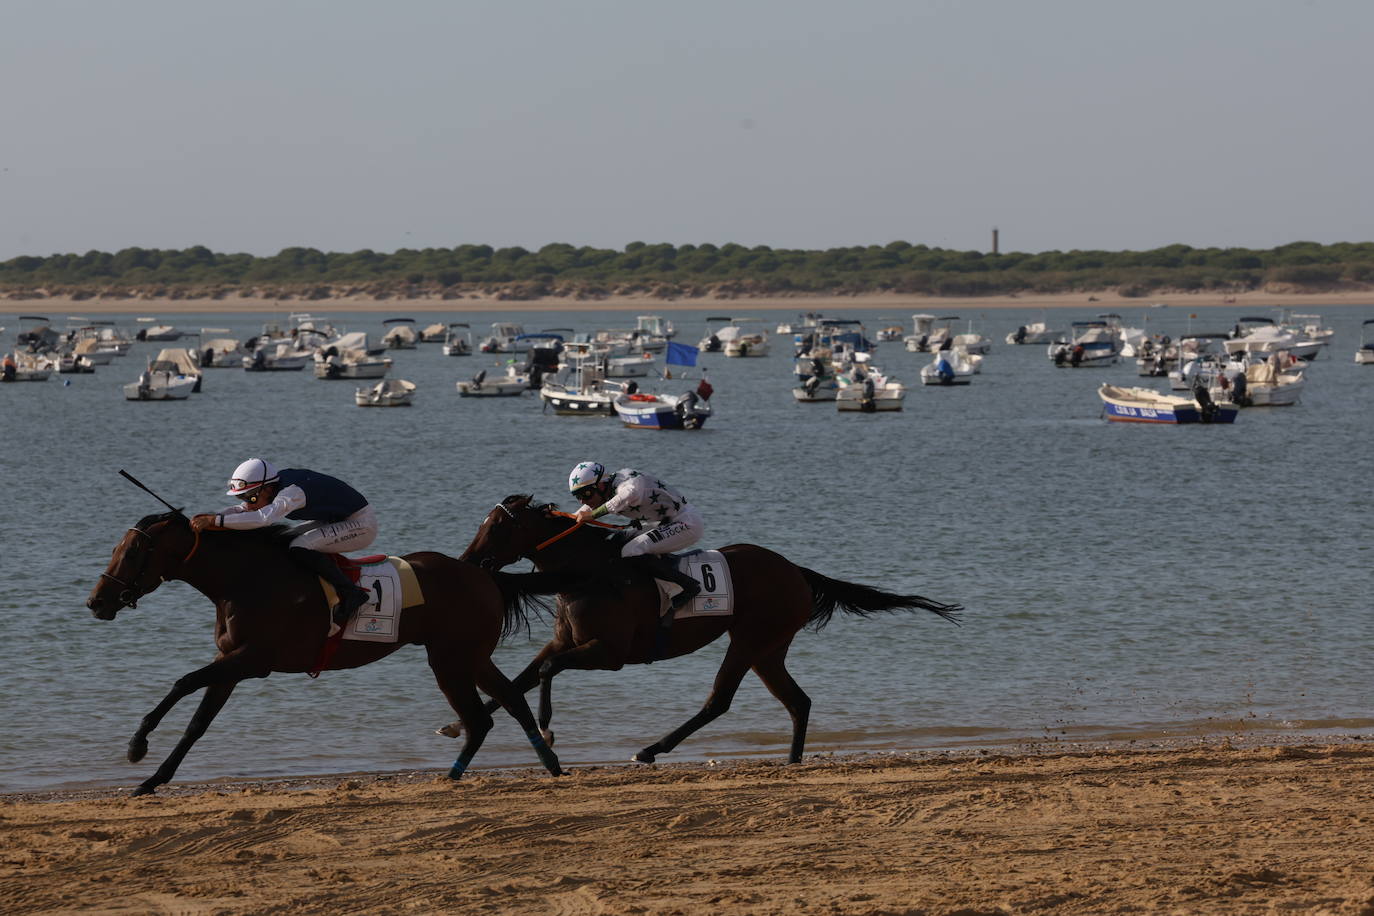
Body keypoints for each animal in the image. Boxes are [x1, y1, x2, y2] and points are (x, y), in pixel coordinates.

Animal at [86, 510, 576, 795]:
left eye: (134, 550)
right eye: (116, 547)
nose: (96, 602)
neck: (246, 579)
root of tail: (484, 574)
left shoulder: (252, 661)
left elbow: (182, 681)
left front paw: (136, 745)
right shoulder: (232, 665)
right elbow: (196, 726)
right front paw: (152, 780)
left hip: (450, 659)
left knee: (480, 717)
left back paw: (456, 773)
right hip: (470, 656)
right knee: (507, 701)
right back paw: (549, 763)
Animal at [456, 494, 962, 765]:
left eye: (497, 525)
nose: (467, 562)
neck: (589, 572)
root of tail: (795, 570)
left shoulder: (610, 653)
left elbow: (545, 674)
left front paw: (547, 728)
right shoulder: (565, 641)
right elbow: (521, 678)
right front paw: (457, 725)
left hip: (750, 640)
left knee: (719, 700)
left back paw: (651, 749)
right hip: (768, 648)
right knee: (797, 701)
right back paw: (793, 758)